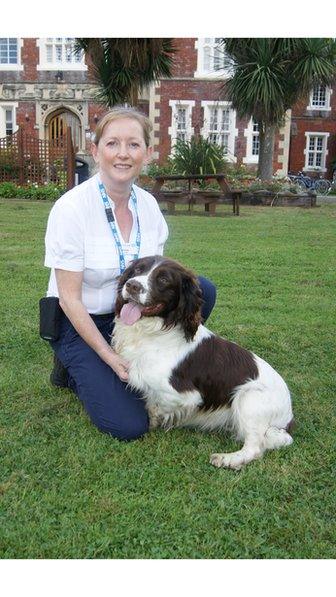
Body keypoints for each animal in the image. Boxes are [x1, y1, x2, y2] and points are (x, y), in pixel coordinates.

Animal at [111, 254, 292, 468]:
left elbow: (157, 406)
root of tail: (289, 416)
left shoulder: (184, 395)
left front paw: (155, 421)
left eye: (163, 279)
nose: (132, 285)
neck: (153, 332)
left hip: (249, 398)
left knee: (255, 447)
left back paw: (226, 459)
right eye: (138, 270)